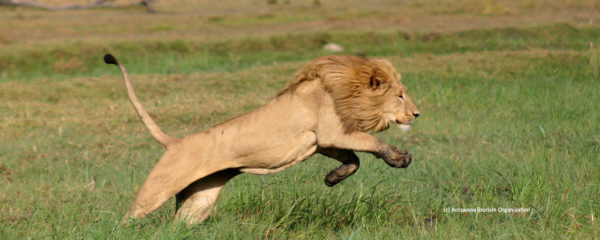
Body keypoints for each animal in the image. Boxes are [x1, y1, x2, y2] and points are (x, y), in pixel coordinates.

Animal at [103, 53, 420, 224]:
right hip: (156, 190)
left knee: (179, 225)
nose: (417, 114)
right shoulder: (334, 131)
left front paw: (332, 179)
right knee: (125, 220)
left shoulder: (323, 141)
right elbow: (372, 144)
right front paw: (399, 158)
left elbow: (353, 160)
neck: (348, 88)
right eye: (400, 95)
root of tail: (175, 142)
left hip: (200, 200)